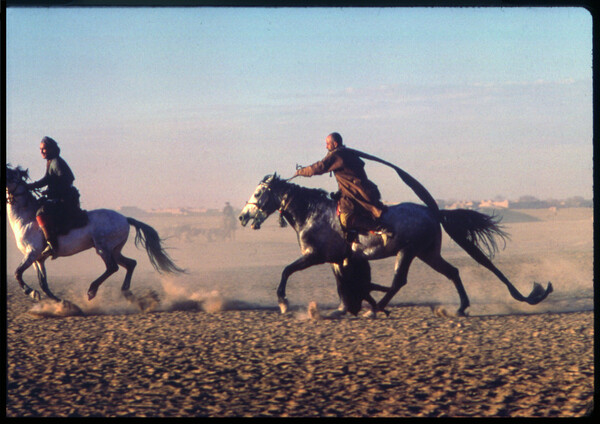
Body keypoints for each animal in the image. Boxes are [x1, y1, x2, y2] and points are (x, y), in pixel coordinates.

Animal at [238, 172, 552, 314]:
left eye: (258, 192)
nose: (242, 216)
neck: (312, 212)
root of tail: (432, 212)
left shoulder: (316, 256)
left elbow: (286, 271)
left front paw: (283, 303)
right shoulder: (339, 260)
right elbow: (344, 286)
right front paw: (343, 308)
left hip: (408, 252)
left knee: (399, 280)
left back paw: (376, 309)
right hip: (427, 253)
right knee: (452, 272)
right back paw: (460, 307)